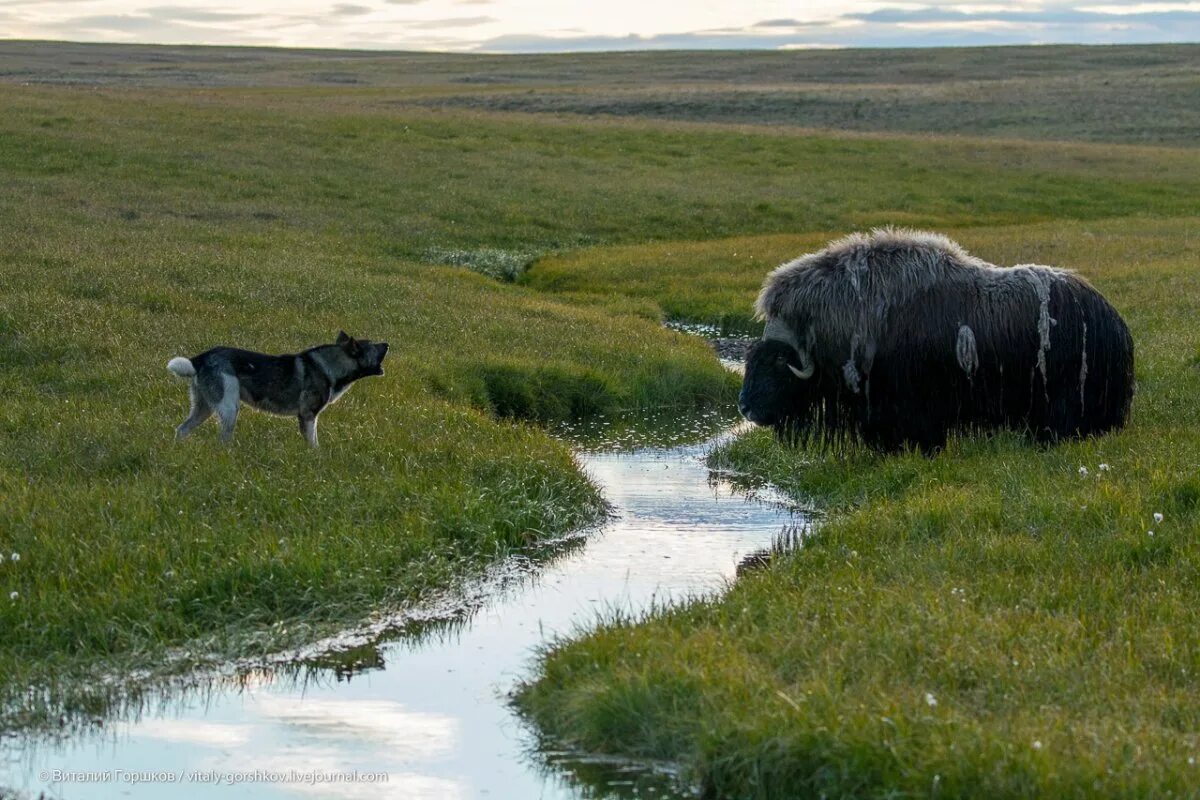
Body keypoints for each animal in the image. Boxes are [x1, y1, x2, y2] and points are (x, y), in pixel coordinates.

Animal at [164, 328, 386, 448]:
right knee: (222, 439)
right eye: (373, 345)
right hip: (229, 409)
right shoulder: (308, 416)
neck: (331, 364)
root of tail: (199, 359)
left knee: (182, 429)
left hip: (204, 408)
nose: (388, 343)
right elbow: (314, 445)